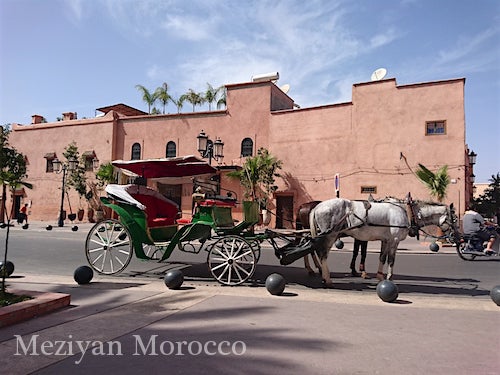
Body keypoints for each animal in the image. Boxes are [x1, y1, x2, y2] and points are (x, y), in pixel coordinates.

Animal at [308, 197, 458, 288]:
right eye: (455, 218)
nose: (456, 237)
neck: (407, 212)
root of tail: (318, 206)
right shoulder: (394, 240)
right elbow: (391, 259)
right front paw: (390, 278)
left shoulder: (386, 240)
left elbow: (382, 257)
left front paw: (380, 277)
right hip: (330, 235)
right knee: (323, 255)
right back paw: (327, 279)